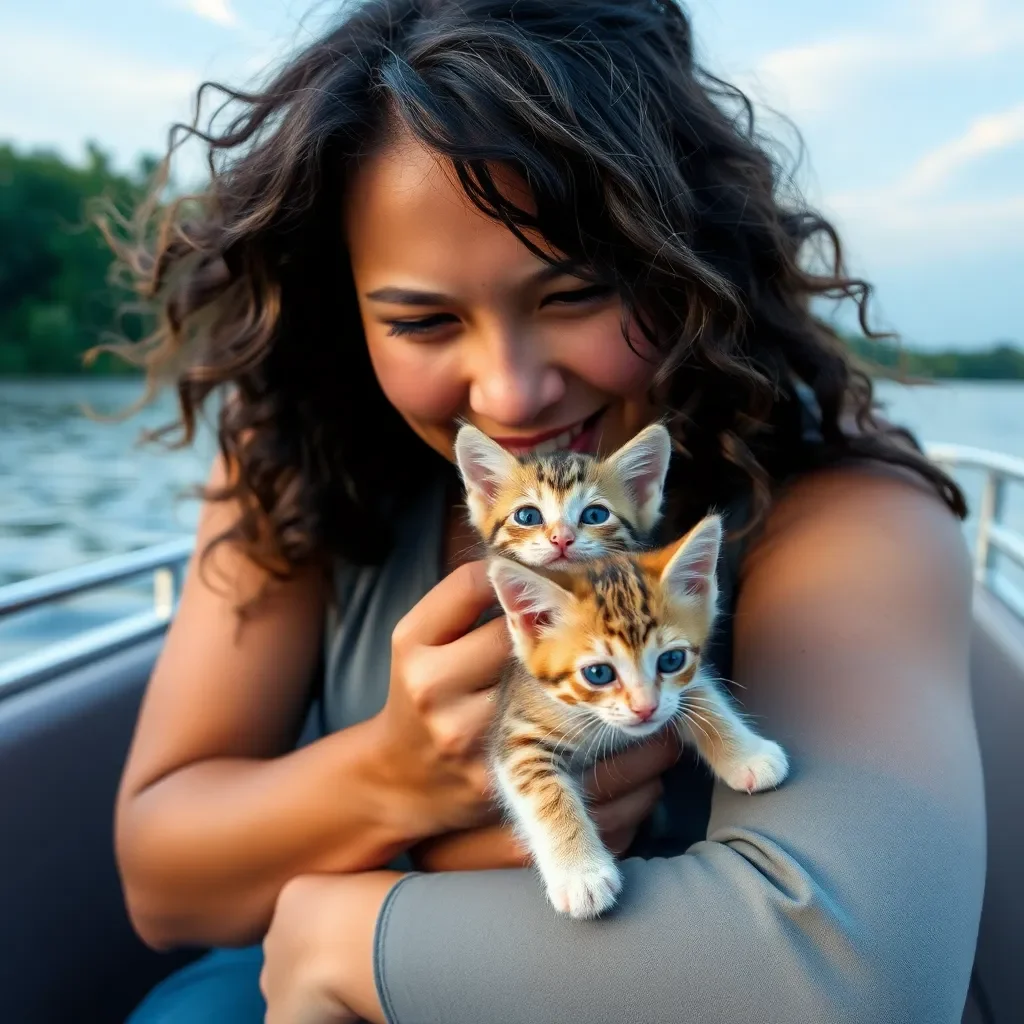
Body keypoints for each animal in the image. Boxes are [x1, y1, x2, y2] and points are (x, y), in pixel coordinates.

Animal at [487, 516, 790, 925]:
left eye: (671, 660)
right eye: (598, 673)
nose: (646, 708)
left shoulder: (680, 687)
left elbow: (702, 699)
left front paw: (748, 754)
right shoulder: (516, 730)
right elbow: (545, 792)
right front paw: (580, 875)